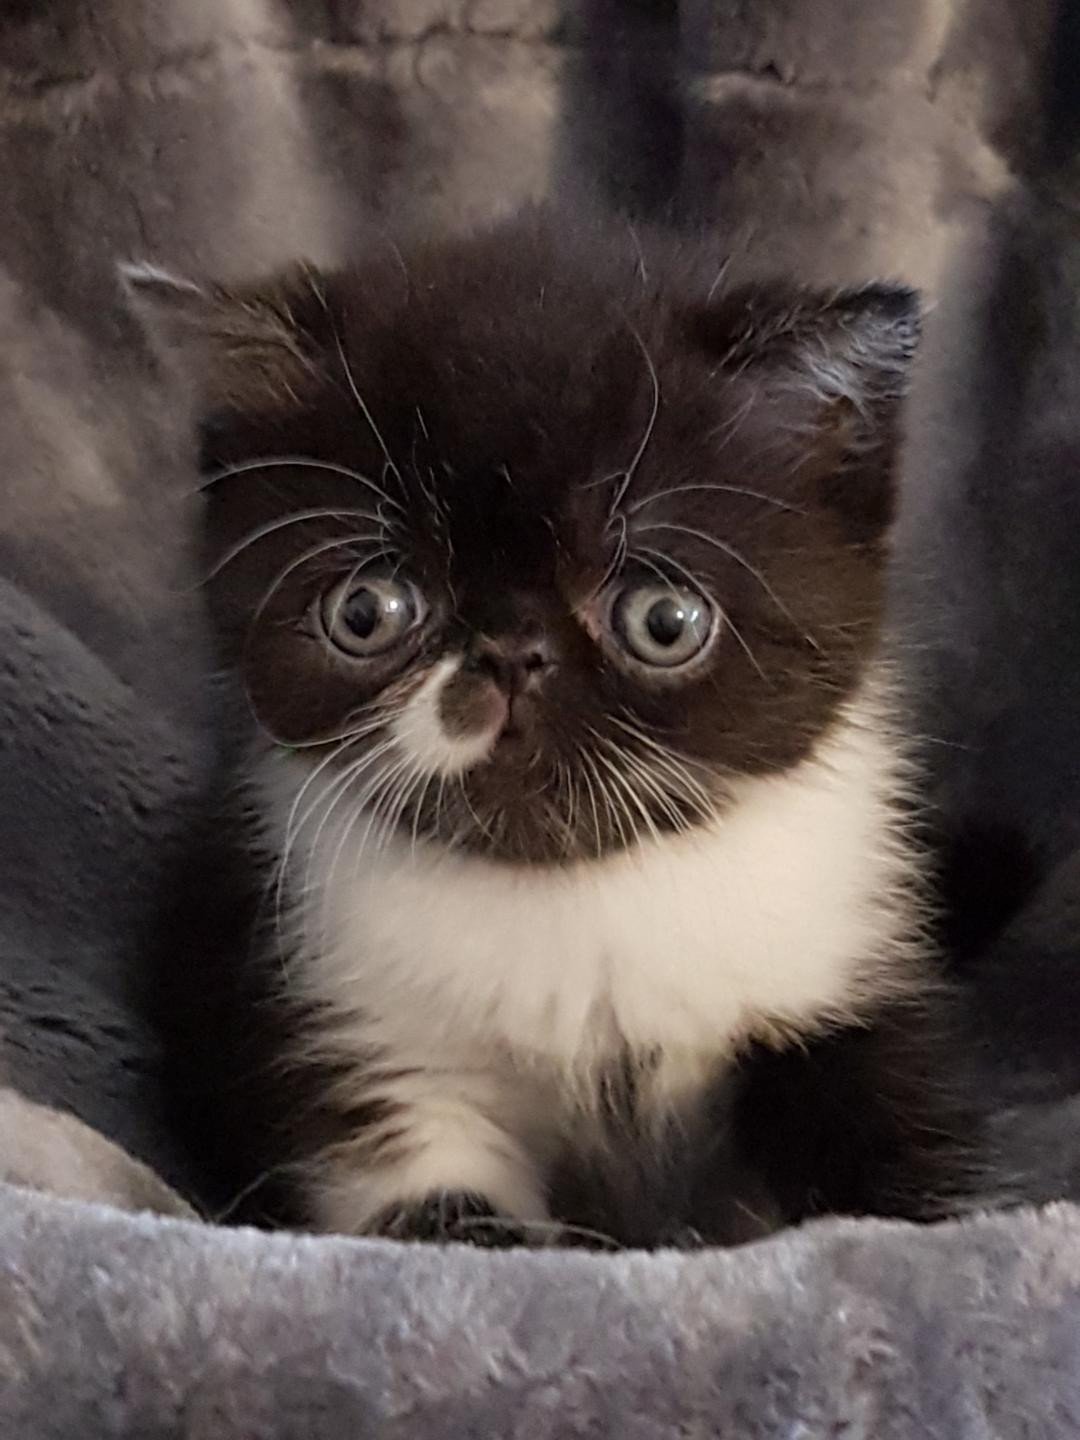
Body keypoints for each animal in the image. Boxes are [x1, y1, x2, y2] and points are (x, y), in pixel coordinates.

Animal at [131, 208, 984, 1244]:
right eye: (368, 611)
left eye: (665, 620)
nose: (508, 653)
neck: (573, 898)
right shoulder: (354, 1040)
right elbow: (438, 1218)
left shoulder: (847, 974)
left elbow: (898, 1156)